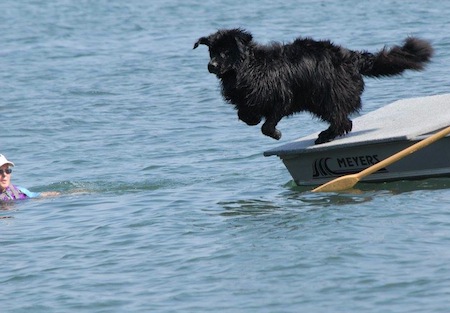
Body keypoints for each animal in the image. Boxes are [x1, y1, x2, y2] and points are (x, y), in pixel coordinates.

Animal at [193, 28, 432, 143]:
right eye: (212, 51)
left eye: (226, 51)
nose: (211, 65)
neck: (250, 68)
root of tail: (352, 58)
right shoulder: (248, 98)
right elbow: (244, 114)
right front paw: (252, 119)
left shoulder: (283, 97)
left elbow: (267, 125)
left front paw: (275, 133)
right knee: (344, 120)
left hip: (327, 95)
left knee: (340, 118)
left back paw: (326, 135)